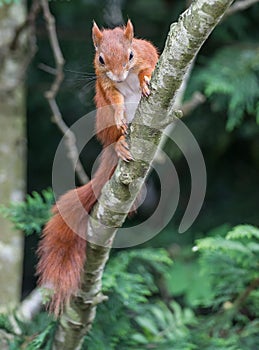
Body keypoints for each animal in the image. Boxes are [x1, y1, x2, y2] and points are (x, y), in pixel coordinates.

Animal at [36, 18, 158, 314]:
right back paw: (119, 143)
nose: (118, 76)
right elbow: (114, 97)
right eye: (101, 59)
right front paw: (120, 112)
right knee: (113, 136)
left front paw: (144, 80)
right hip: (103, 118)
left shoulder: (148, 55)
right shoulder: (105, 84)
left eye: (130, 55)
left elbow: (149, 68)